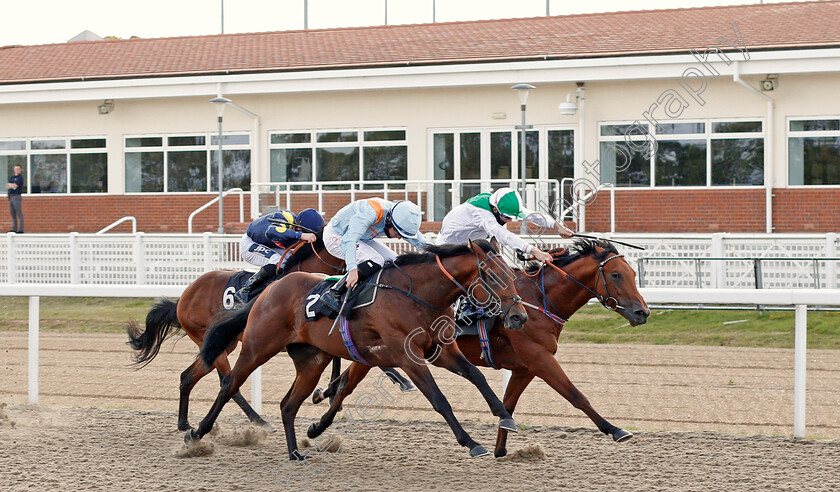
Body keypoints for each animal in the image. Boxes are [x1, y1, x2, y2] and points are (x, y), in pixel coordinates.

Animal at [124, 234, 342, 430]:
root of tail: (184, 297)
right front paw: (330, 393)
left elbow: (336, 355)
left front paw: (330, 393)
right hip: (213, 342)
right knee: (228, 382)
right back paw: (258, 420)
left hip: (220, 344)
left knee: (188, 377)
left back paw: (184, 423)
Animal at [194, 240, 528, 460]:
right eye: (492, 276)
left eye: (513, 275)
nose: (518, 317)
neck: (417, 295)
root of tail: (270, 289)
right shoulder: (407, 356)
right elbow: (439, 399)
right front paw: (471, 442)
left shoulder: (441, 349)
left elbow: (477, 376)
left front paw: (505, 417)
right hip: (257, 346)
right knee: (229, 384)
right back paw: (196, 434)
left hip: (311, 361)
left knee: (288, 404)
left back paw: (294, 452)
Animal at [308, 238, 648, 458]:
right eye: (616, 274)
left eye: (633, 274)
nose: (642, 312)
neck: (539, 302)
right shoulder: (538, 359)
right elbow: (576, 395)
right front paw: (615, 429)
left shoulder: (525, 368)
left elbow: (508, 403)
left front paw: (501, 447)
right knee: (346, 386)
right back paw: (319, 421)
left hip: (375, 353)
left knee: (345, 384)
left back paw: (318, 425)